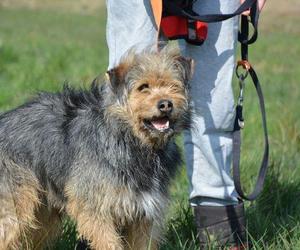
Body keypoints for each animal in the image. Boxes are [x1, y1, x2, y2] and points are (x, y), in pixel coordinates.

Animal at [0, 47, 192, 249]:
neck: (131, 140)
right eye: (143, 87)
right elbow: (108, 243)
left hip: (43, 215)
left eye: (173, 86)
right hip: (17, 205)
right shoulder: (96, 209)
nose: (166, 104)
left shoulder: (145, 215)